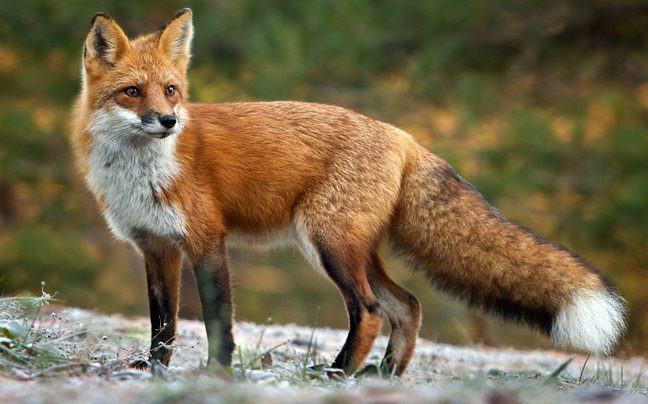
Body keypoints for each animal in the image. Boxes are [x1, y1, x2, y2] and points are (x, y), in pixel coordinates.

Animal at [72, 8, 626, 376]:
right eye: (132, 92)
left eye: (171, 91)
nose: (168, 121)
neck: (139, 173)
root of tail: (404, 137)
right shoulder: (155, 247)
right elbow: (162, 325)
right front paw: (152, 372)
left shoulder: (207, 239)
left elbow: (217, 320)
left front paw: (217, 373)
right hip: (351, 249)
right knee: (408, 305)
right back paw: (382, 375)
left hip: (329, 245)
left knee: (372, 310)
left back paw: (336, 373)